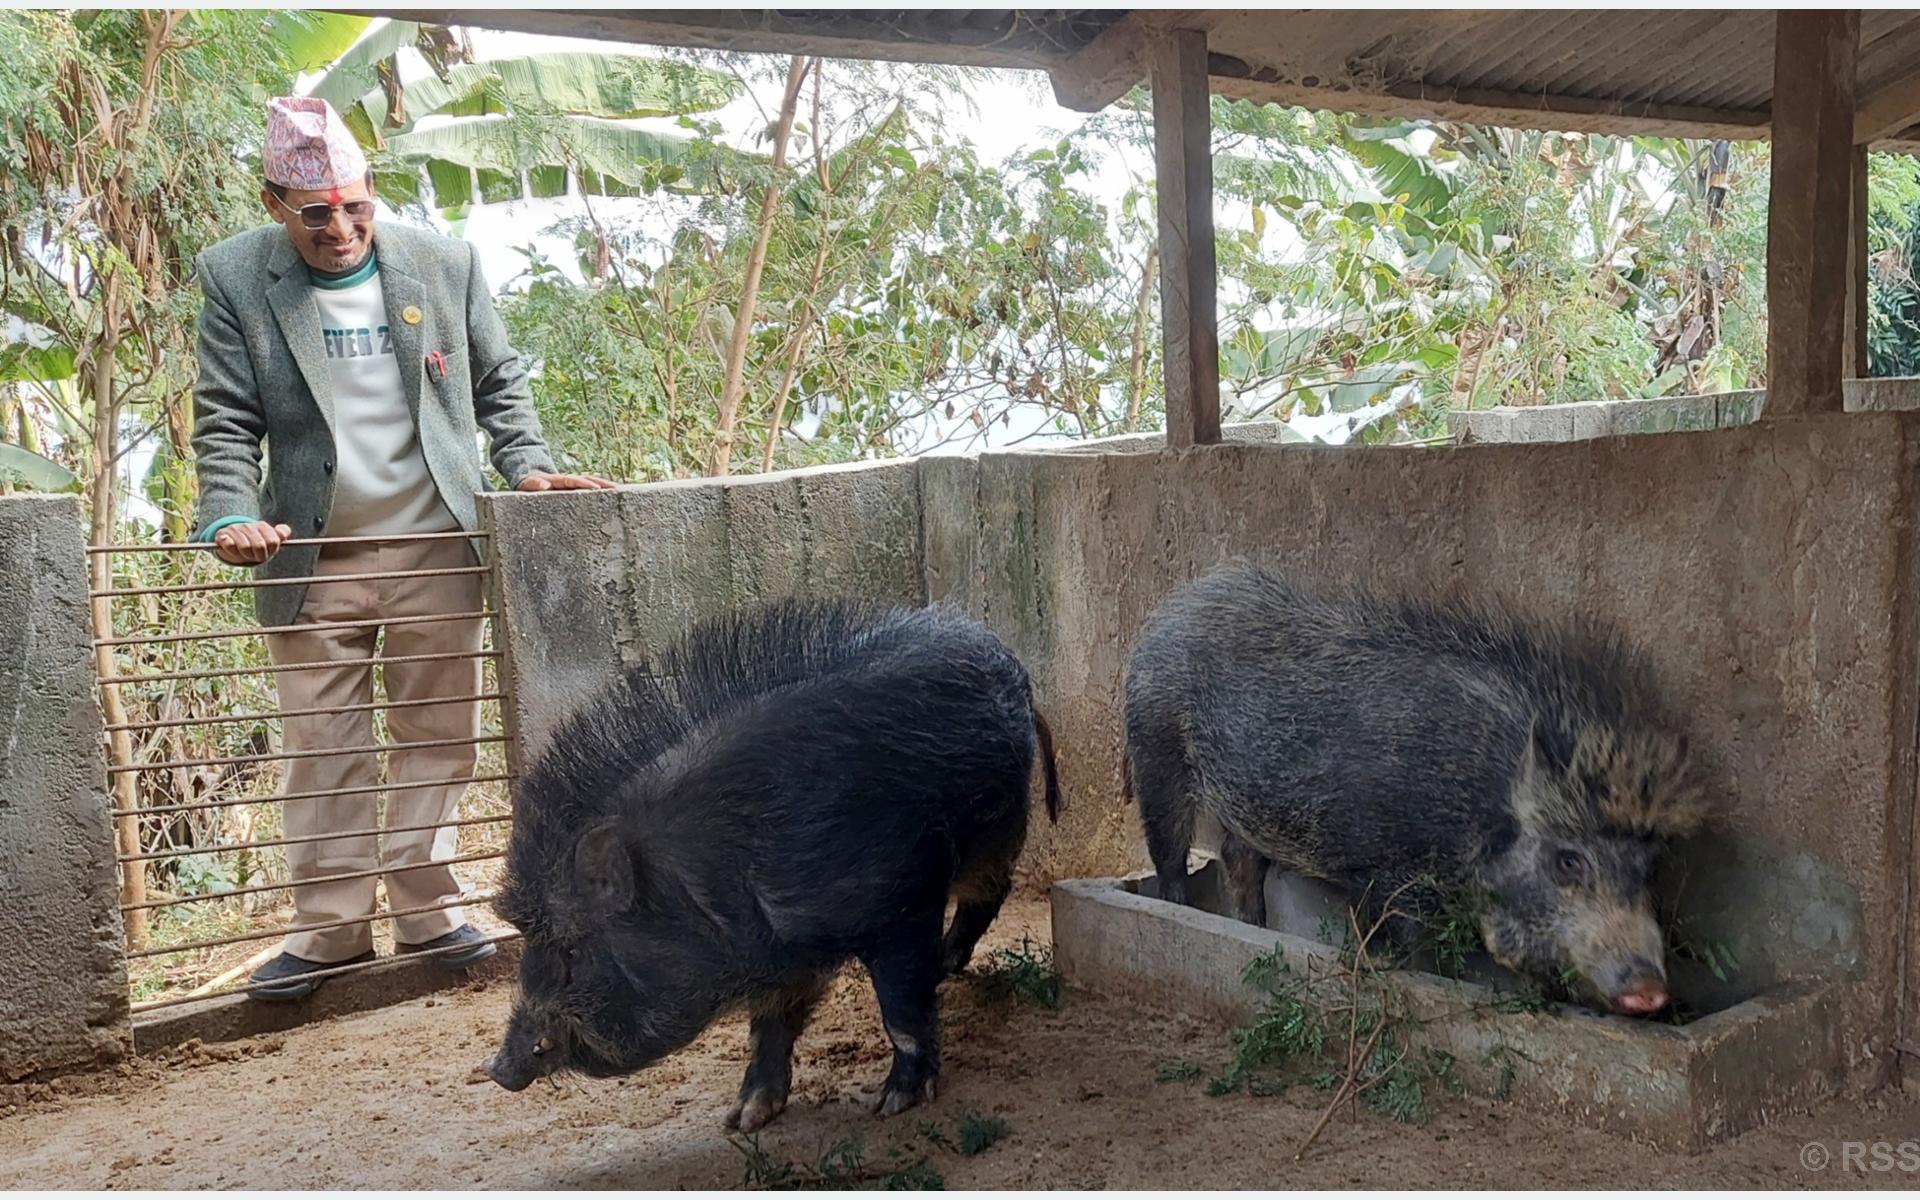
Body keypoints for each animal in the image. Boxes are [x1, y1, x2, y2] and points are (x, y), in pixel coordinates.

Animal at [480, 602, 1052, 1128]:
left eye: (571, 949)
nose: (497, 1069)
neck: (705, 876)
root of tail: (1003, 655)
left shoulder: (900, 903)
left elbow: (902, 1012)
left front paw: (891, 1105)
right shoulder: (781, 957)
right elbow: (771, 1026)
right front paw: (743, 1119)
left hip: (1000, 826)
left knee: (990, 891)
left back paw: (947, 964)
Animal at [1121, 564, 1712, 1013]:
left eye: (1648, 867)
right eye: (1569, 860)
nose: (1653, 991)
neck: (1475, 802)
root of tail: (1172, 606)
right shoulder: (1380, 873)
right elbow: (1391, 943)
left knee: (1239, 859)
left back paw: (1256, 927)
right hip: (1156, 754)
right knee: (1170, 854)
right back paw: (1184, 908)